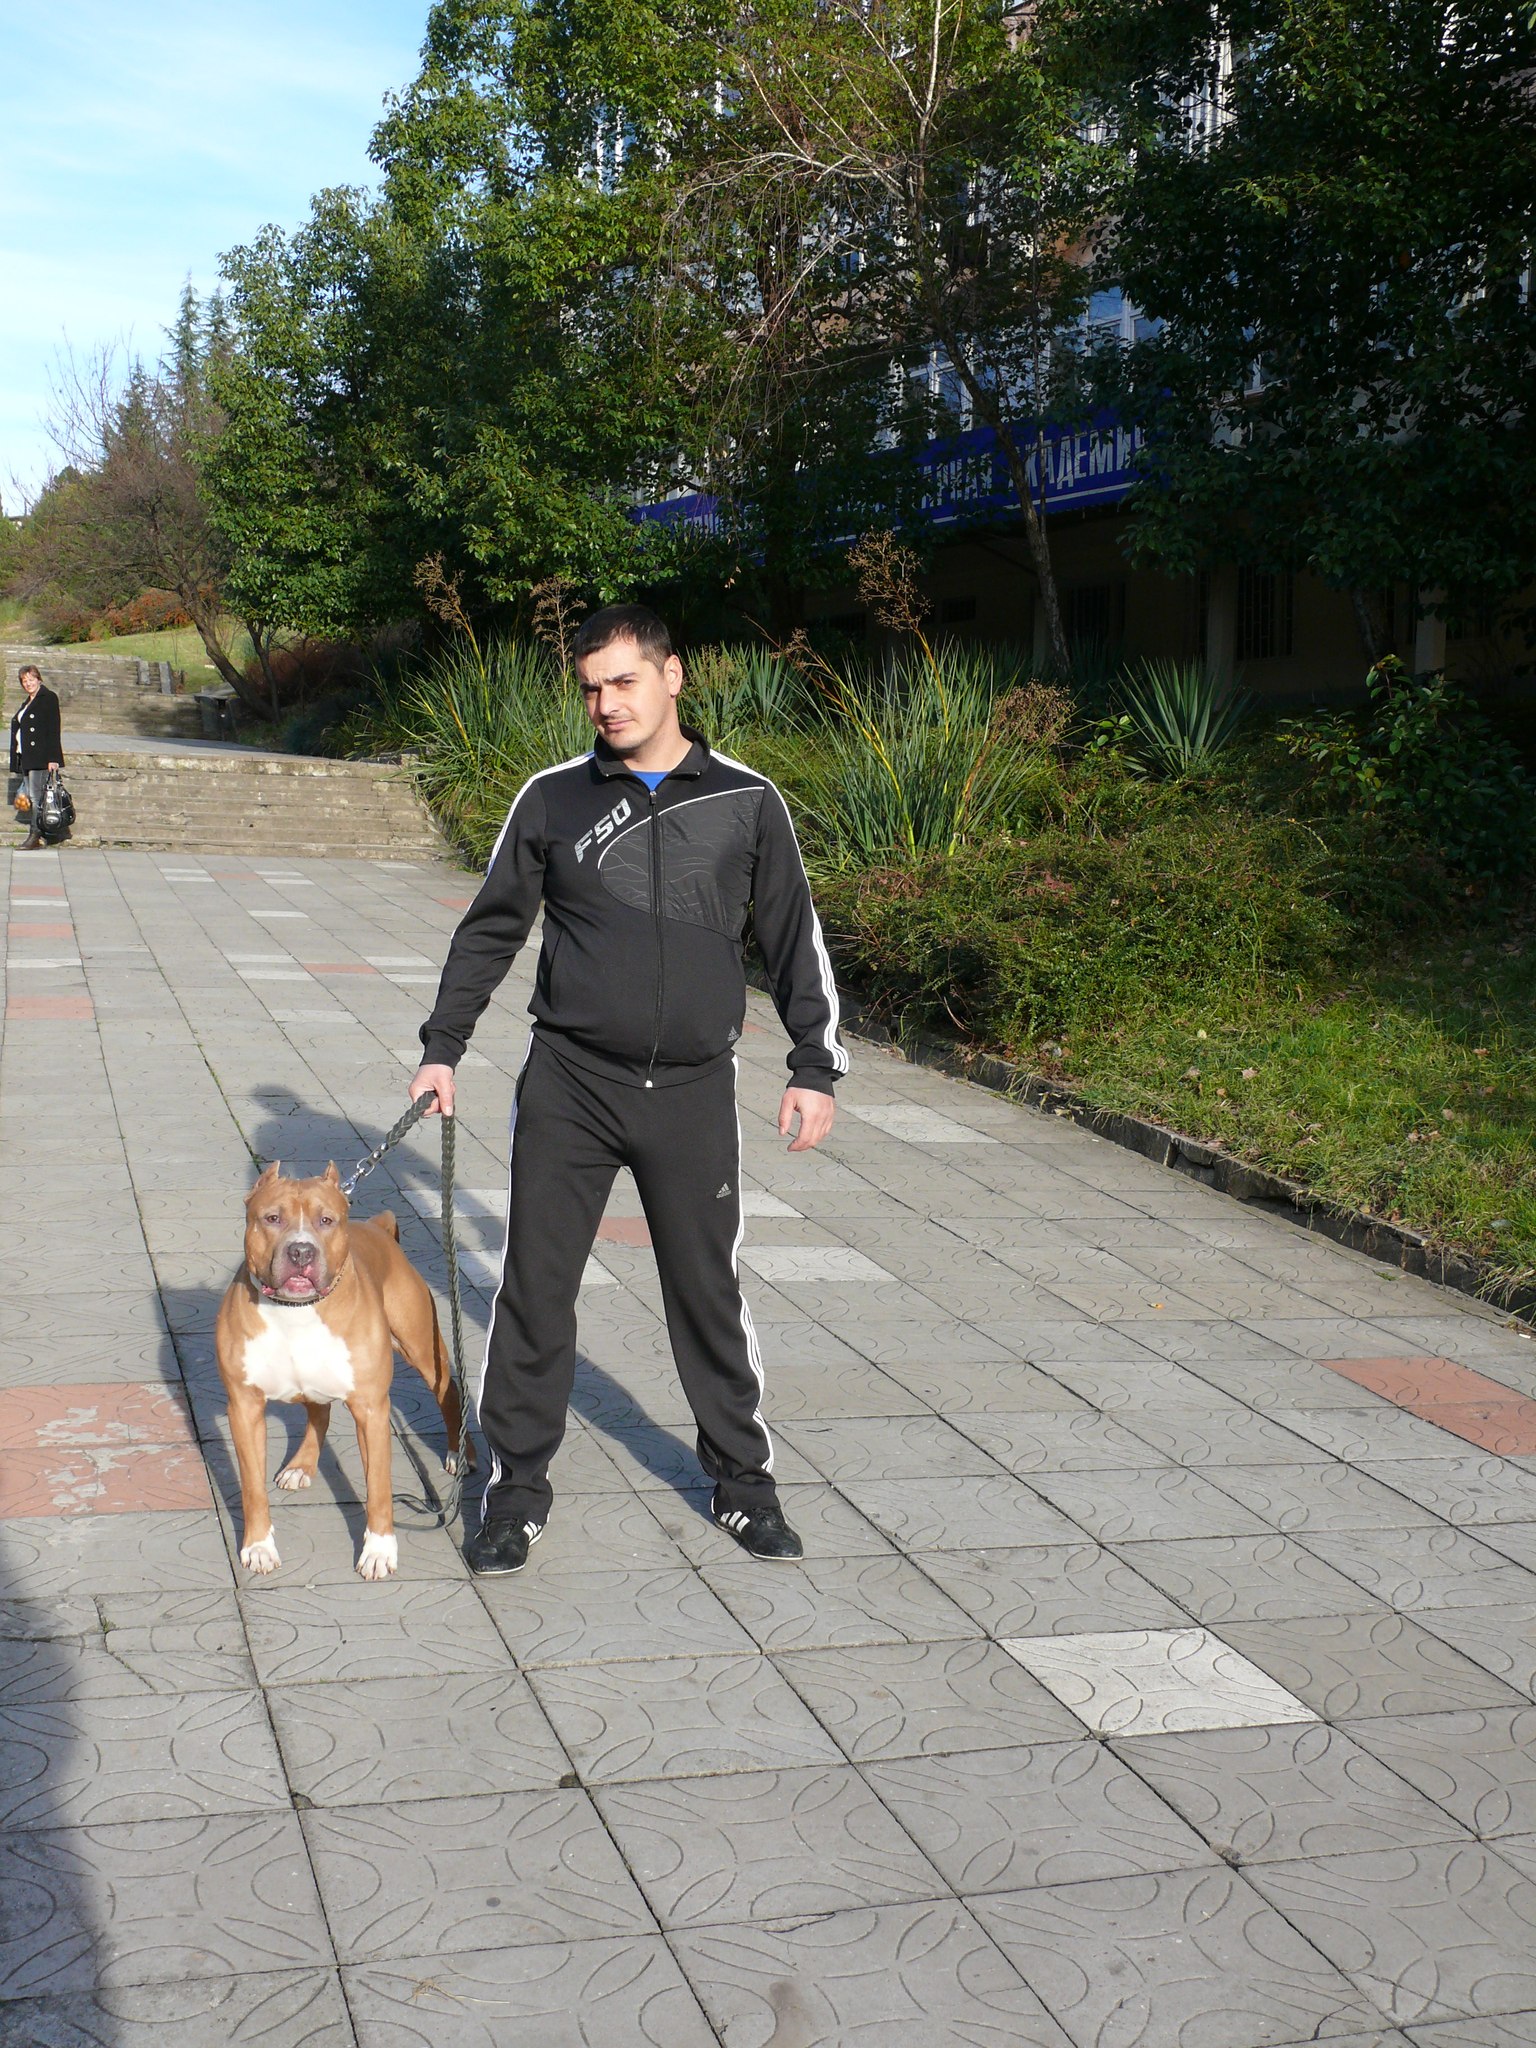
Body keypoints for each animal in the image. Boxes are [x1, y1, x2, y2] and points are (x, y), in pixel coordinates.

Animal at [215, 1160, 472, 1580]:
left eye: (326, 1220)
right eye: (271, 1218)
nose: (301, 1250)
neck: (296, 1311)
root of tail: (378, 1228)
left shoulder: (371, 1409)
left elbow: (379, 1488)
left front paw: (379, 1551)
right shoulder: (244, 1407)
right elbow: (252, 1487)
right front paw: (259, 1546)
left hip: (422, 1347)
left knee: (449, 1392)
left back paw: (459, 1453)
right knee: (318, 1412)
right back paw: (302, 1466)